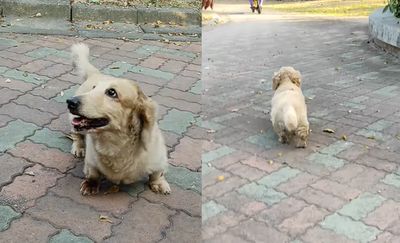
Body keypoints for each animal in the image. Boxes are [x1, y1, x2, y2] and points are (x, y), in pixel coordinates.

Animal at [66, 43, 172, 196]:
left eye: (112, 92)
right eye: (93, 88)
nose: (70, 102)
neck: (116, 144)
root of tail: (96, 74)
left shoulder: (159, 158)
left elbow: (158, 173)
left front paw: (158, 183)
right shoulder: (91, 162)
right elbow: (93, 173)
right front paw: (90, 184)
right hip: (74, 123)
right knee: (76, 135)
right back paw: (78, 147)